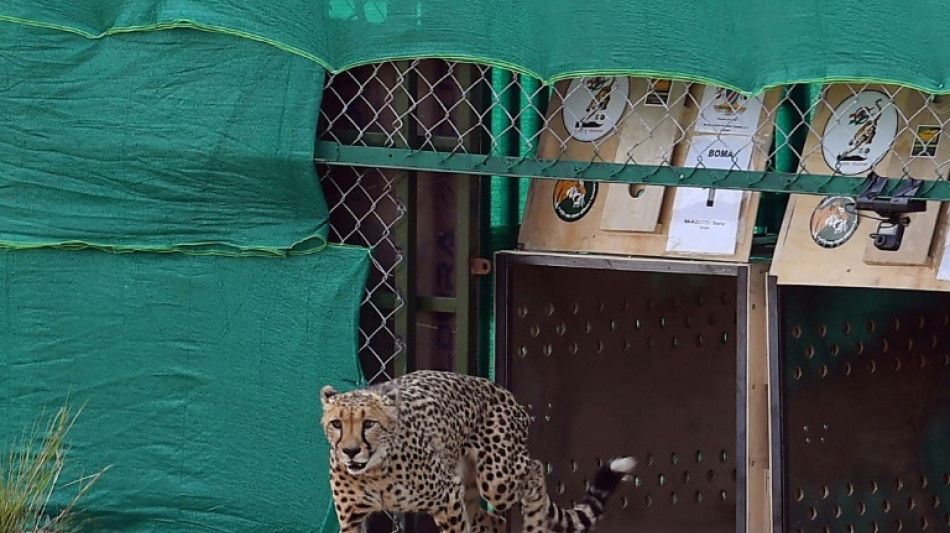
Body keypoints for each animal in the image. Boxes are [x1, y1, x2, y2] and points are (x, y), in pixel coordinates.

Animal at [322, 368, 640, 532]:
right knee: (495, 520)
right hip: (473, 493)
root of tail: (498, 388)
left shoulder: (447, 496)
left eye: (369, 423)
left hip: (498, 481)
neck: (373, 471)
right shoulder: (352, 517)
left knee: (535, 469)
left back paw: (535, 524)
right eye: (337, 423)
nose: (350, 451)